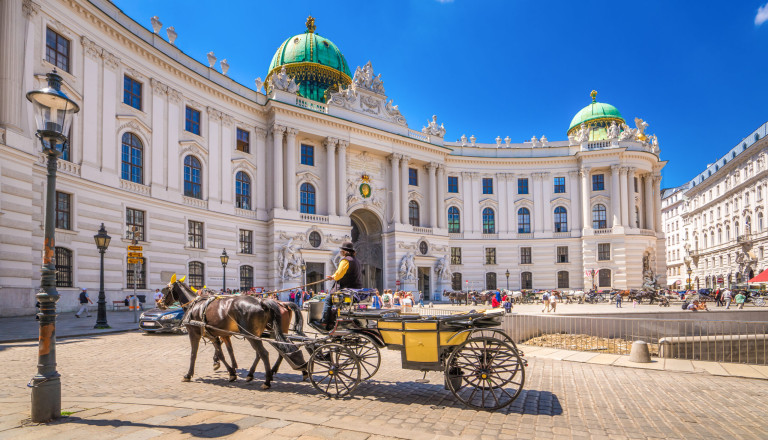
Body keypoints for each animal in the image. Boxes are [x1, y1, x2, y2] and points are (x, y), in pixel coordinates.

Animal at [156, 276, 292, 388]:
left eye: (166, 290)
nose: (159, 303)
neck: (195, 305)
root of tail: (261, 302)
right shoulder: (216, 335)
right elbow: (223, 353)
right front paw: (231, 371)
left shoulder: (194, 334)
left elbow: (194, 354)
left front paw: (188, 375)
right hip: (257, 335)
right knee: (265, 352)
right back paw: (255, 374)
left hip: (251, 334)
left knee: (264, 353)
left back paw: (267, 380)